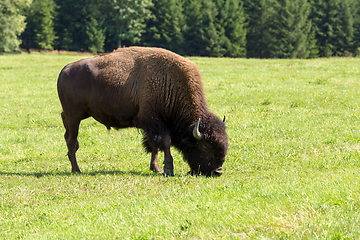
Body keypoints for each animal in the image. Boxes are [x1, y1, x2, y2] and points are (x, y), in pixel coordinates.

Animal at [57, 46, 228, 176]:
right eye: (206, 147)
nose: (217, 172)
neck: (170, 83)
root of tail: (64, 70)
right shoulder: (154, 121)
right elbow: (165, 142)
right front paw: (168, 169)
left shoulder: (153, 127)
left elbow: (154, 146)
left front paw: (156, 168)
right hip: (74, 115)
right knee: (72, 140)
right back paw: (76, 170)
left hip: (80, 114)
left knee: (68, 136)